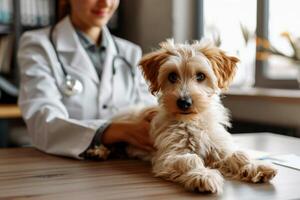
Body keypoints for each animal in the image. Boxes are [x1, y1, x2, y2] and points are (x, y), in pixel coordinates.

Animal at [90, 39, 278, 194]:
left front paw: (255, 166)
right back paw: (98, 151)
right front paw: (203, 176)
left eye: (201, 76)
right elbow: (190, 159)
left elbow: (237, 155)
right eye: (172, 76)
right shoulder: (170, 154)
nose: (184, 102)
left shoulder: (217, 145)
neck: (192, 122)